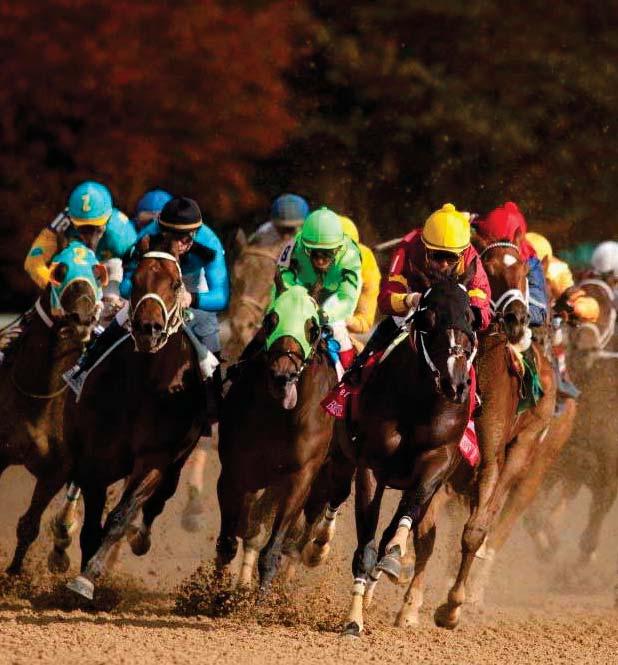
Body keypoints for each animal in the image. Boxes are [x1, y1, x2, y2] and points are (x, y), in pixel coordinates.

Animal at [0, 241, 104, 572]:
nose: (81, 319)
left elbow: (29, 524)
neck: (37, 396)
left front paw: (14, 574)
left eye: (96, 272)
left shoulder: (56, 471)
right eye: (60, 271)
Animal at [62, 240, 203, 600]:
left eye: (176, 284)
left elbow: (120, 516)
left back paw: (140, 538)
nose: (148, 329)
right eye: (135, 279)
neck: (145, 387)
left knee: (157, 501)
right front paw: (81, 576)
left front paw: (89, 576)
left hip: (175, 462)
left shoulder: (155, 458)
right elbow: (92, 524)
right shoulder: (95, 457)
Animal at [214, 278, 340, 588]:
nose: (282, 376)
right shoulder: (236, 471)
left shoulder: (301, 476)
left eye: (312, 327)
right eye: (271, 320)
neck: (281, 415)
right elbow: (229, 541)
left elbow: (271, 550)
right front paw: (215, 593)